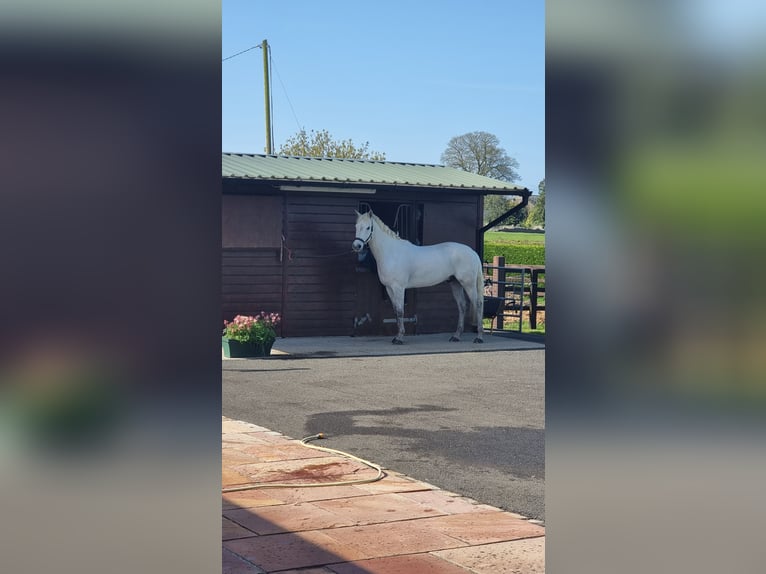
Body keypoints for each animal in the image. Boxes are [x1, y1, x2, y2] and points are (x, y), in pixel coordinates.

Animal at [354, 212, 486, 346]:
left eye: (368, 228)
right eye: (356, 226)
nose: (357, 246)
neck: (391, 252)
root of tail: (472, 252)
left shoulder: (398, 288)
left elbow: (400, 311)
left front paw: (399, 338)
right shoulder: (389, 288)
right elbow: (396, 311)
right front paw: (396, 336)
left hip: (468, 284)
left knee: (478, 304)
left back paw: (479, 337)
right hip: (455, 283)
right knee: (462, 306)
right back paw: (456, 336)